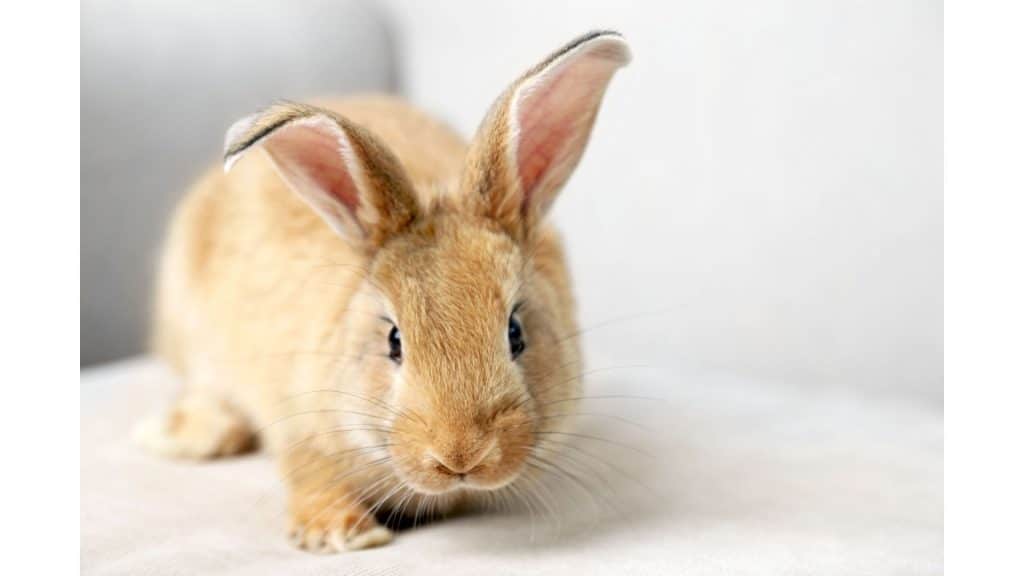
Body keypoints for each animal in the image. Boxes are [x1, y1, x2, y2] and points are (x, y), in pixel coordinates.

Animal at [134, 30, 631, 552]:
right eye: (394, 340)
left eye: (516, 333)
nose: (462, 456)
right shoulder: (298, 424)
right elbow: (310, 475)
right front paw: (342, 534)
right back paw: (178, 433)